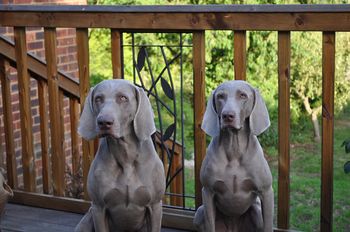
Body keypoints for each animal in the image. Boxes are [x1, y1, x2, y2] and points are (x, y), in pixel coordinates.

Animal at [75, 79, 165, 231]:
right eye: (98, 99)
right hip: (86, 220)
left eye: (123, 98)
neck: (125, 156)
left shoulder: (155, 205)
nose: (104, 122)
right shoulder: (98, 208)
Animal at [194, 80, 274, 232]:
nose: (227, 116)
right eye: (220, 96)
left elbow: (268, 225)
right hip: (200, 212)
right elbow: (210, 224)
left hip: (256, 211)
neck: (234, 149)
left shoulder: (266, 192)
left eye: (243, 95)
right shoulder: (207, 191)